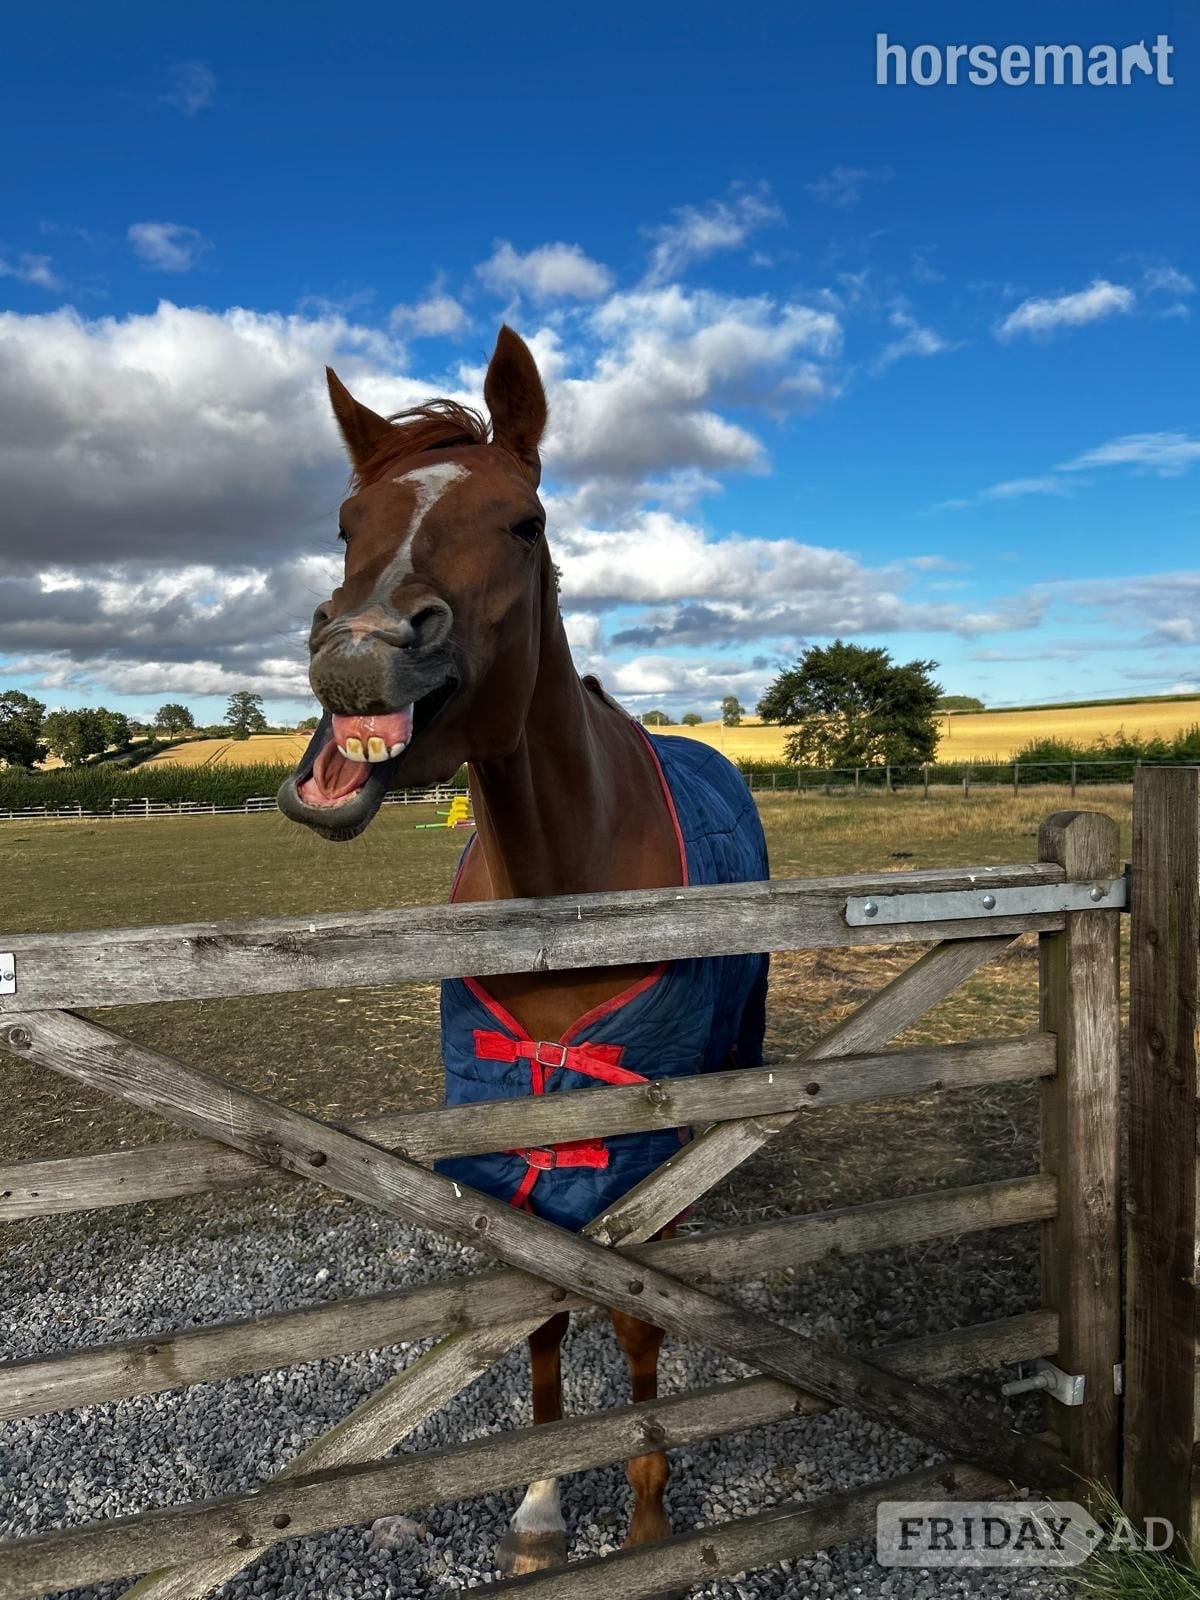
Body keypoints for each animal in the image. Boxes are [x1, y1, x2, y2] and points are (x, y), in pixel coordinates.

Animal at [278, 326, 769, 1575]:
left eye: (524, 521)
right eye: (345, 522)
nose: (360, 653)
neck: (562, 889)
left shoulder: (636, 1127)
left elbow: (636, 1307)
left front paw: (646, 1512)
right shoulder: (507, 1127)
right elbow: (539, 1309)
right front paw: (543, 1504)